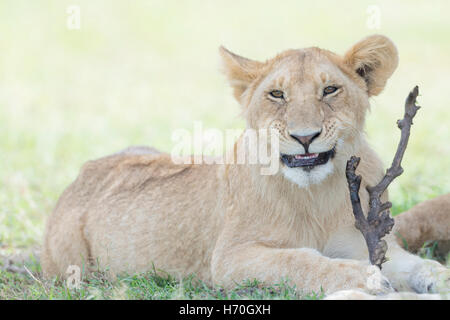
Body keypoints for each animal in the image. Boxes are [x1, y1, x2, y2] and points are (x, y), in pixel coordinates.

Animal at [41, 34, 446, 296]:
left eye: (330, 90)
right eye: (277, 94)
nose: (305, 137)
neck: (314, 194)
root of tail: (85, 172)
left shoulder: (365, 241)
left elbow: (414, 264)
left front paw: (438, 278)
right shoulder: (230, 259)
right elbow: (300, 261)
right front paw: (366, 280)